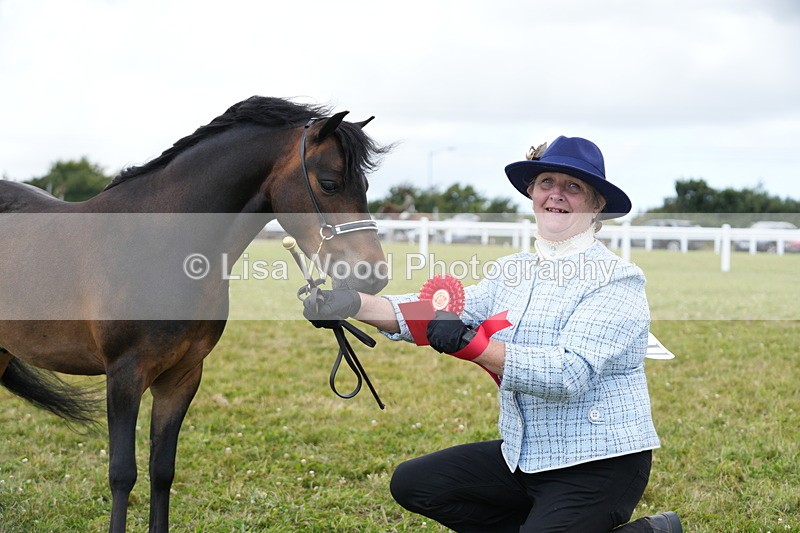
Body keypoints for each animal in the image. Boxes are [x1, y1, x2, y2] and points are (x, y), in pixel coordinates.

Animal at [0, 96, 389, 533]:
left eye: (366, 186)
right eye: (330, 183)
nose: (373, 274)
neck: (161, 244)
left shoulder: (182, 376)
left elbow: (162, 470)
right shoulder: (124, 375)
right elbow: (122, 474)